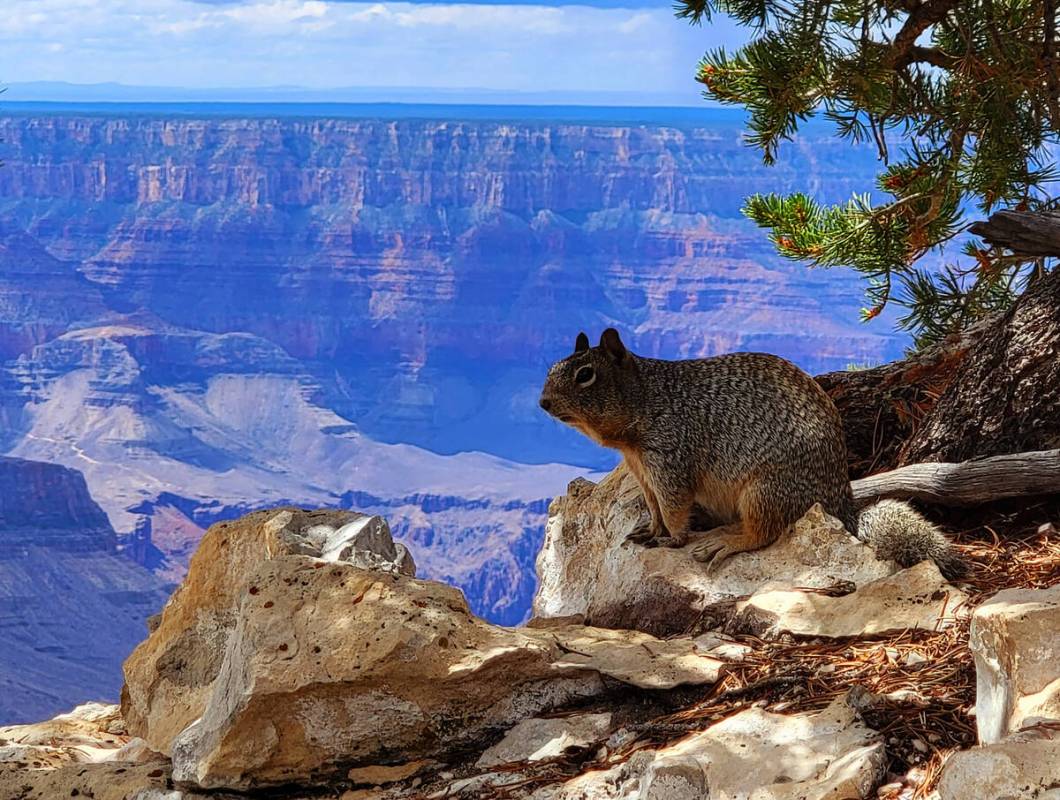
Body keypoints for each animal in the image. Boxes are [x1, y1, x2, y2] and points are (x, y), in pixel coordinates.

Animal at [542, 328, 966, 580]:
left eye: (585, 375)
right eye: (553, 367)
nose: (543, 402)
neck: (648, 400)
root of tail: (841, 510)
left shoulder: (670, 459)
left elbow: (674, 506)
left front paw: (672, 539)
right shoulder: (643, 471)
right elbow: (654, 507)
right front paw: (649, 530)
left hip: (764, 491)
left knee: (765, 533)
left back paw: (726, 540)